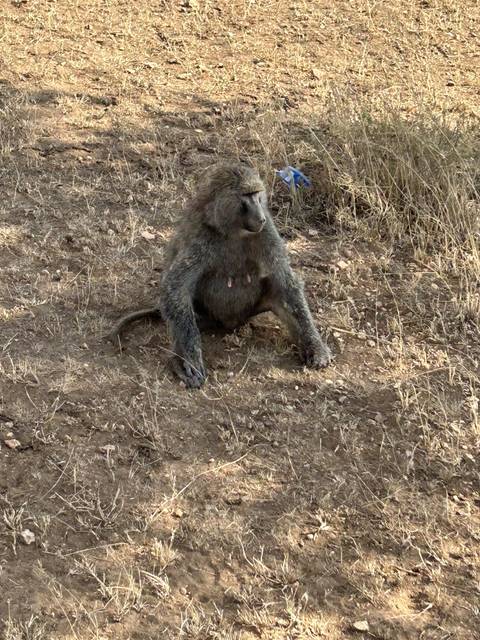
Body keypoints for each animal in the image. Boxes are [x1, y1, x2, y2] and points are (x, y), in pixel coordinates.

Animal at [108, 163, 332, 388]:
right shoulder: (202, 238)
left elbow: (286, 282)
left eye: (257, 194)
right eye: (246, 196)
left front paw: (317, 348)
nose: (260, 217)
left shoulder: (266, 231)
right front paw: (190, 359)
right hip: (203, 314)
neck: (231, 228)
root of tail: (230, 323)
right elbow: (176, 287)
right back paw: (177, 361)